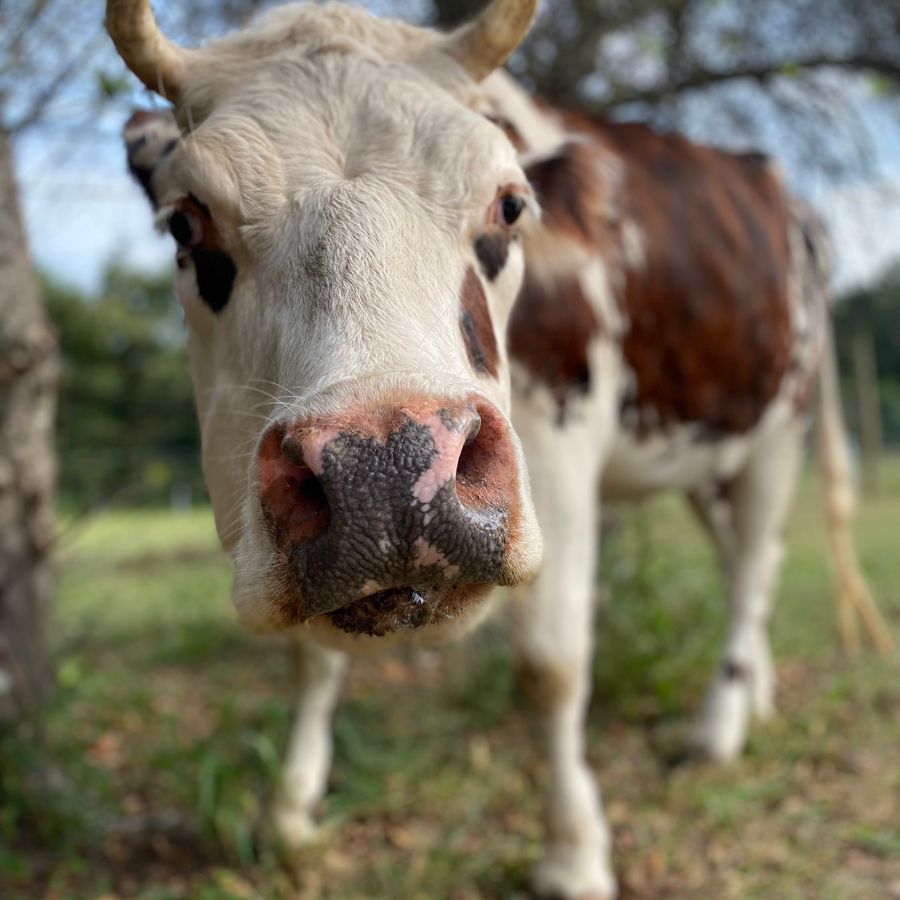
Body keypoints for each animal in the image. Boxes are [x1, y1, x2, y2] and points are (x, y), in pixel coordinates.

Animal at [108, 0, 893, 897]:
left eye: (510, 206)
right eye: (185, 220)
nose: (385, 470)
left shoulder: (559, 442)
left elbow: (551, 665)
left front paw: (574, 851)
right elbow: (311, 657)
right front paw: (290, 811)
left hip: (777, 425)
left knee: (757, 563)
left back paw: (720, 726)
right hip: (701, 447)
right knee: (738, 561)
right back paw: (755, 695)